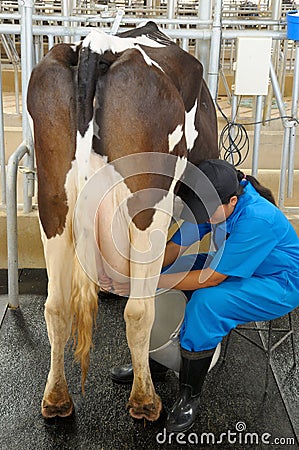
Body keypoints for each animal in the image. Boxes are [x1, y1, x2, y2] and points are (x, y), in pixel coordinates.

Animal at [27, 21, 219, 422]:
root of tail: (96, 44)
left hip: (53, 205)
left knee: (56, 306)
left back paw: (56, 399)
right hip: (148, 209)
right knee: (139, 311)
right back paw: (145, 401)